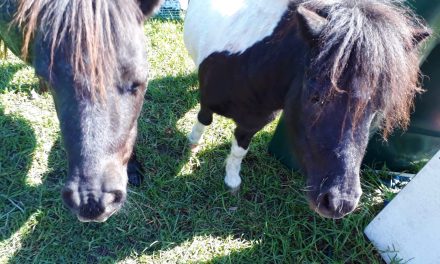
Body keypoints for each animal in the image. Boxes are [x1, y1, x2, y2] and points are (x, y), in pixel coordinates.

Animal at [184, 0, 432, 219]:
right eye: (316, 98)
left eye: (376, 109)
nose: (339, 203)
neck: (248, 65)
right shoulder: (208, 102)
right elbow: (204, 120)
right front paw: (192, 145)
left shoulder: (253, 123)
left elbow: (239, 151)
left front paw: (232, 180)